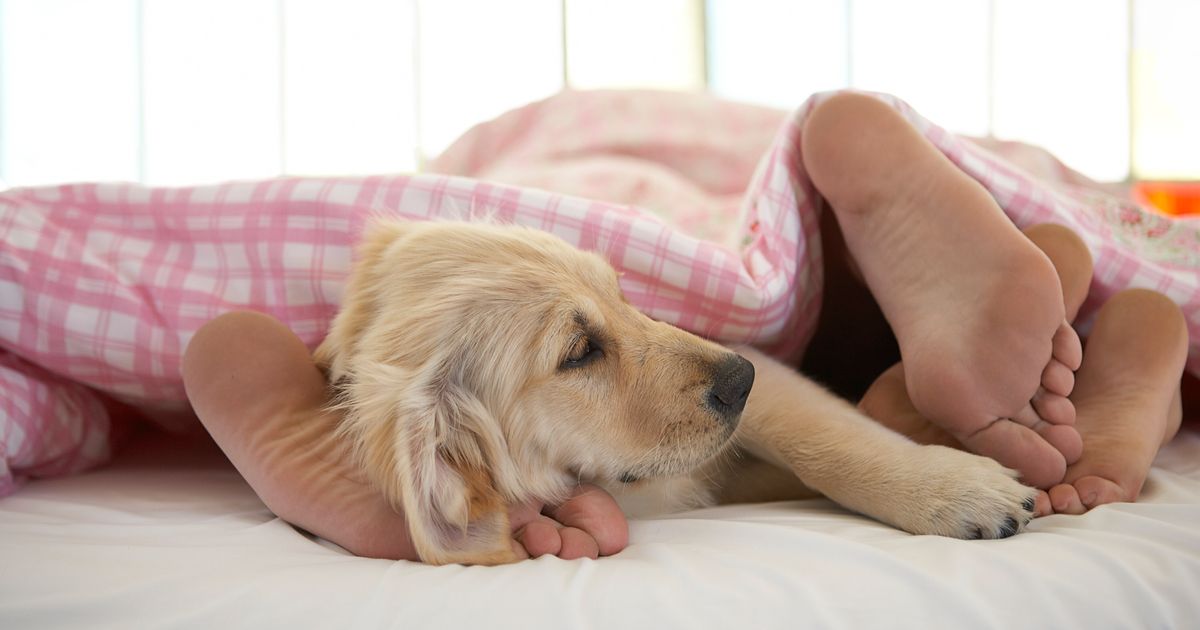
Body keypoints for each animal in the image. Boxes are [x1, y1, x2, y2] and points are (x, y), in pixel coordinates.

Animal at [319, 218, 1041, 561]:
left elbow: (822, 440)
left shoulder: (765, 374)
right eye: (579, 352)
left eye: (621, 294)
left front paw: (951, 489)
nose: (740, 378)